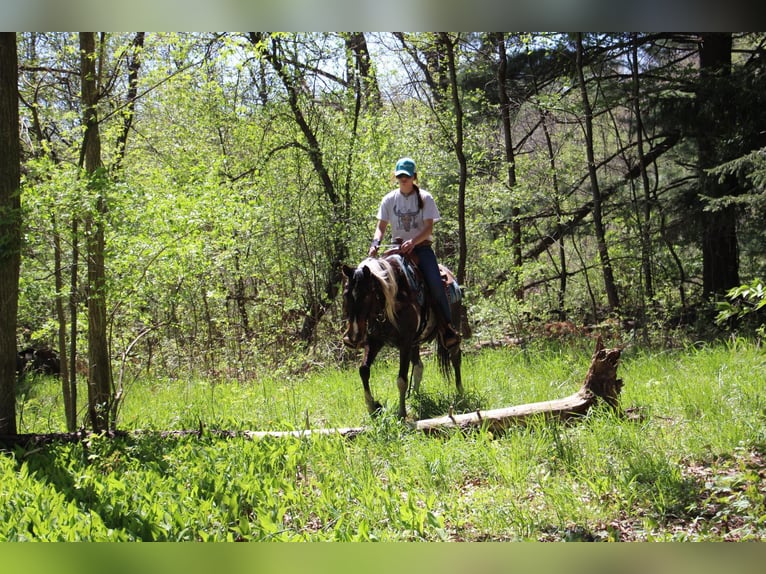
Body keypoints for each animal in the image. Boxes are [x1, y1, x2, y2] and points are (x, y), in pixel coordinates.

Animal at [344, 254, 464, 420]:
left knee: (455, 355)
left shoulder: (405, 343)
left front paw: (402, 413)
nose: (353, 337)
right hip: (416, 342)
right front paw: (372, 408)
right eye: (346, 295)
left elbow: (401, 379)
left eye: (366, 295)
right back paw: (415, 397)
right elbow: (363, 370)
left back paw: (460, 392)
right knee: (419, 365)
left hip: (451, 326)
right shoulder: (374, 341)